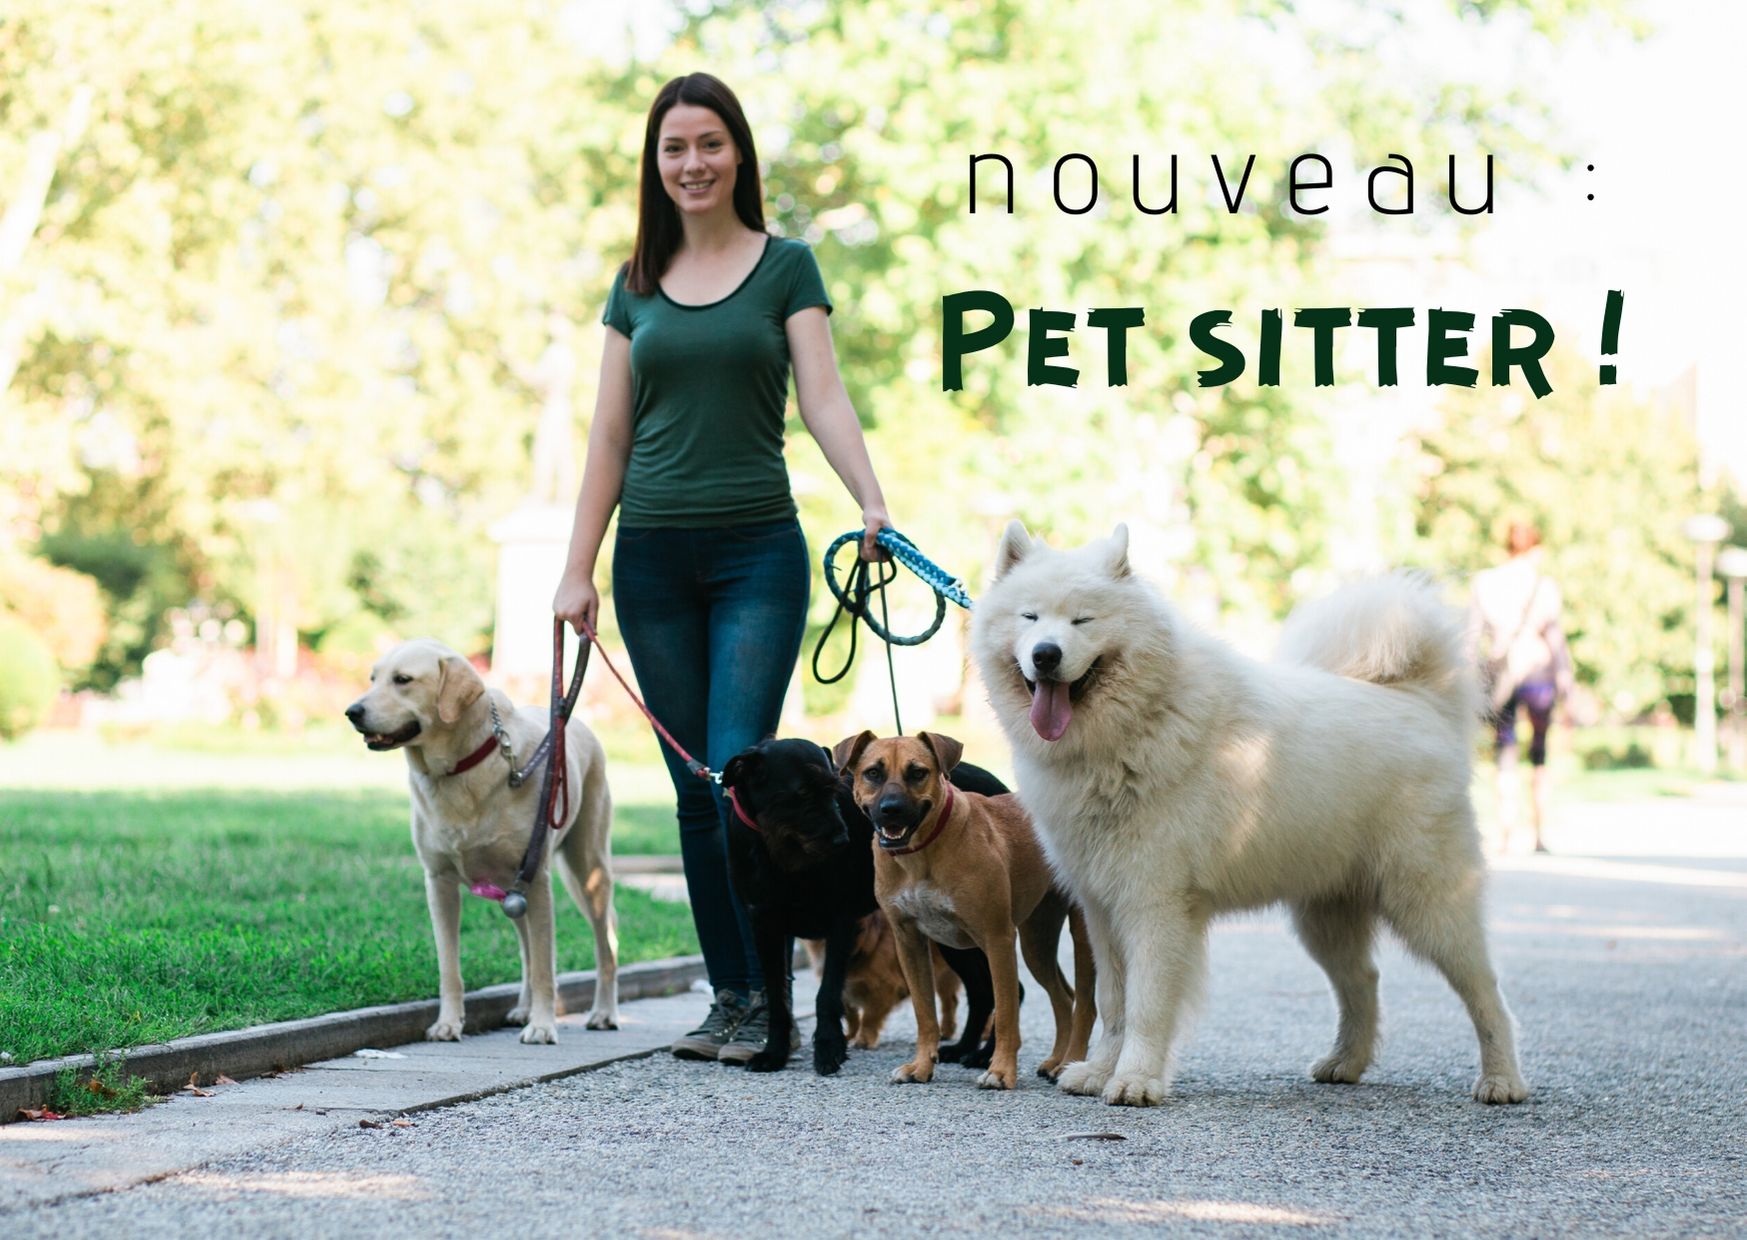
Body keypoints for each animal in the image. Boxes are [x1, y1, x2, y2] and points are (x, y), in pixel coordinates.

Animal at [800, 915, 964, 1047]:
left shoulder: (882, 988)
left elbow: (869, 1017)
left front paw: (863, 1040)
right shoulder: (844, 991)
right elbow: (851, 1017)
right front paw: (847, 1036)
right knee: (950, 1002)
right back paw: (946, 1032)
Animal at [831, 733, 1090, 1089]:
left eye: (917, 772)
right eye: (873, 773)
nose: (891, 809)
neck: (921, 853)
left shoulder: (997, 938)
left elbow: (1006, 1012)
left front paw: (1000, 1070)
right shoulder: (908, 942)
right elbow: (925, 1013)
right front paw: (920, 1066)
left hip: (1082, 935)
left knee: (1087, 1004)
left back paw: (1070, 1064)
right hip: (1036, 939)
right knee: (1064, 996)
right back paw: (1055, 1061)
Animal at [971, 520, 1530, 1110]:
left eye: (1084, 620)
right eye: (1029, 618)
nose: (1046, 655)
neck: (1132, 728)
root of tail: (1419, 702)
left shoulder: (1155, 906)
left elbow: (1145, 1007)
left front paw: (1135, 1081)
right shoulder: (1103, 910)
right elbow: (1112, 1003)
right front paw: (1099, 1073)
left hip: (1428, 904)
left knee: (1485, 991)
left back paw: (1502, 1081)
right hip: (1324, 916)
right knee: (1363, 982)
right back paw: (1344, 1063)